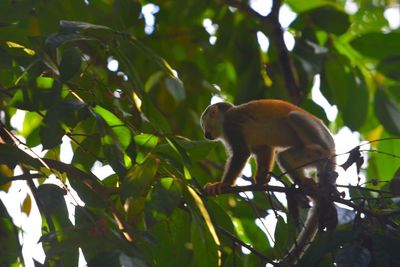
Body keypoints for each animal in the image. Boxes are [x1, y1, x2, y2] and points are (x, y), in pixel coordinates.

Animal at [200, 99, 338, 266]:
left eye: (204, 125)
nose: (205, 134)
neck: (224, 119)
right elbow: (264, 148)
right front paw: (260, 180)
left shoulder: (231, 123)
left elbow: (242, 153)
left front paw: (223, 185)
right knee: (284, 157)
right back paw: (309, 188)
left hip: (322, 137)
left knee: (295, 117)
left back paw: (321, 152)